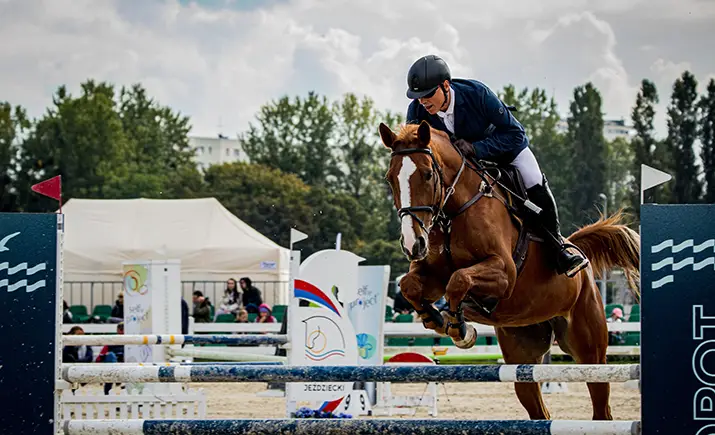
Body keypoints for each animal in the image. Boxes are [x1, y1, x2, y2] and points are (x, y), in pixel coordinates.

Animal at [379, 120, 640, 420]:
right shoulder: (433, 275)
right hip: (523, 352)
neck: (453, 213)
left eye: (427, 174)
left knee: (601, 406)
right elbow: (410, 285)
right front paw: (436, 318)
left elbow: (459, 280)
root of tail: (576, 249)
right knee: (538, 409)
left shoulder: (504, 274)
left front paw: (460, 329)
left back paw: (568, 259)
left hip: (590, 350)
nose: (413, 244)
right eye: (390, 178)